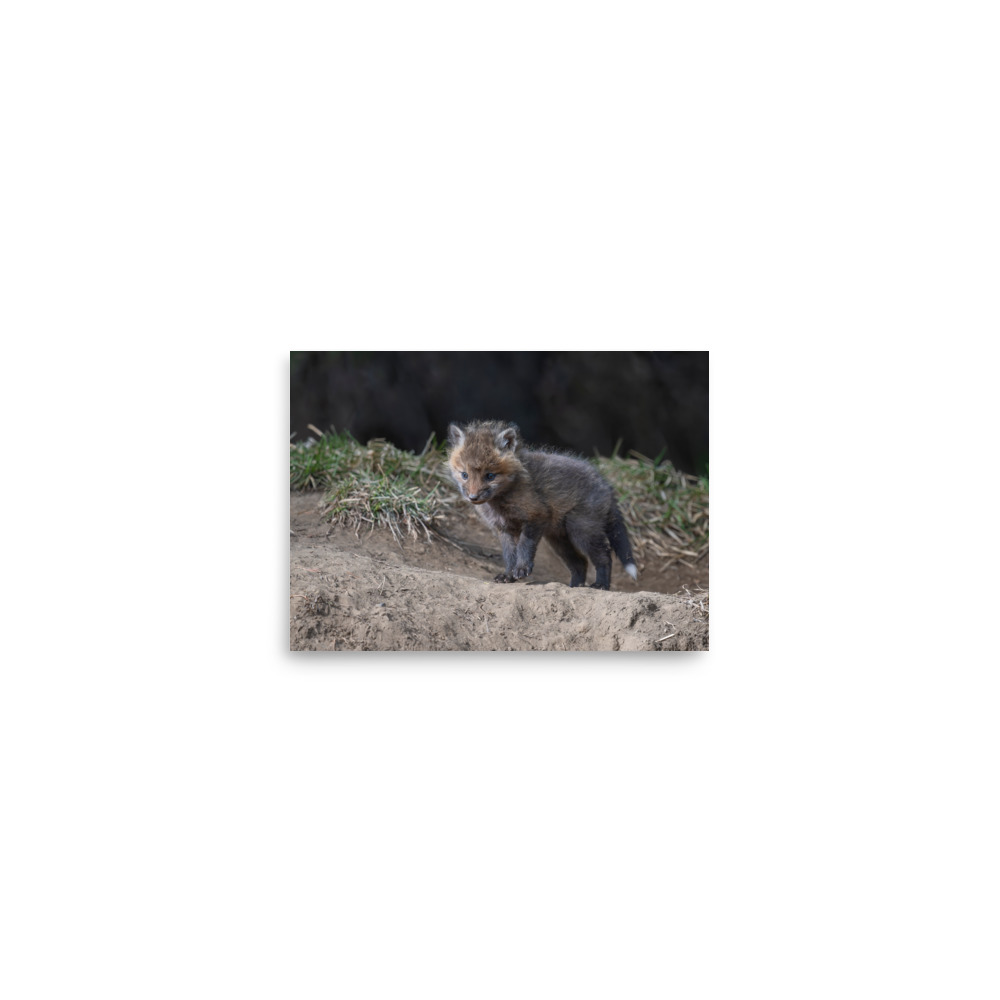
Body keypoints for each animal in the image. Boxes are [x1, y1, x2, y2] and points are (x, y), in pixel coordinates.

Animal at [446, 420, 638, 590]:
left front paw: (522, 568)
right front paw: (508, 575)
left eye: (490, 476)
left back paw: (601, 585)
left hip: (582, 530)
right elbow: (509, 555)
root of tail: (606, 484)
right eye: (464, 475)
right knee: (581, 562)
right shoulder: (504, 528)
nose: (473, 497)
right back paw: (575, 587)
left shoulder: (536, 516)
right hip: (559, 540)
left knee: (604, 556)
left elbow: (524, 546)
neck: (501, 503)